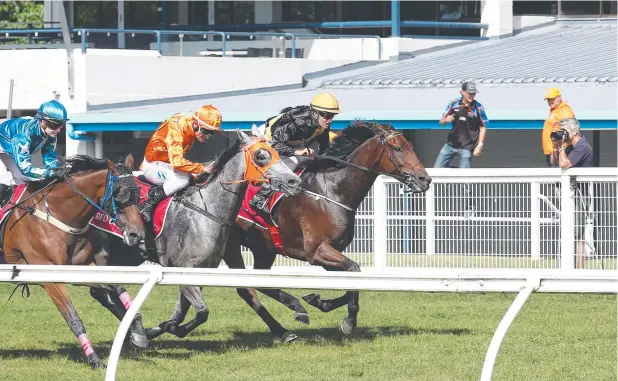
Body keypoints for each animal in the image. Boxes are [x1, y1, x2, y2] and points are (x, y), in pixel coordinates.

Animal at [1, 153, 143, 366]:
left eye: (138, 192)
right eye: (120, 193)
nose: (137, 234)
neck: (57, 213)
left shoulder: (79, 267)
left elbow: (115, 286)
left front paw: (137, 327)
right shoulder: (49, 276)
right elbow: (73, 317)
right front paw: (94, 359)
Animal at [219, 120, 430, 340]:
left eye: (410, 147)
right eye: (397, 148)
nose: (424, 179)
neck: (333, 191)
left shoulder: (330, 252)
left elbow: (350, 281)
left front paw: (319, 301)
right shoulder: (317, 250)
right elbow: (355, 270)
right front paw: (349, 323)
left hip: (264, 247)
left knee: (261, 282)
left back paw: (290, 320)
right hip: (231, 244)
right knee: (246, 288)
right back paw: (286, 322)